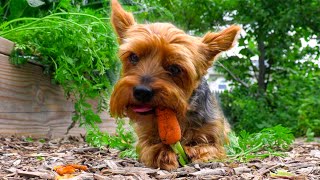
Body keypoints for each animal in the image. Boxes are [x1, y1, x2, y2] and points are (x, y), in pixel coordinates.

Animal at [109, 0, 240, 170]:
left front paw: (196, 151)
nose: (141, 91)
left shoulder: (216, 134)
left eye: (175, 68)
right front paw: (163, 153)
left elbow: (211, 147)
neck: (180, 114)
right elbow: (149, 148)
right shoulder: (145, 137)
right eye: (133, 57)